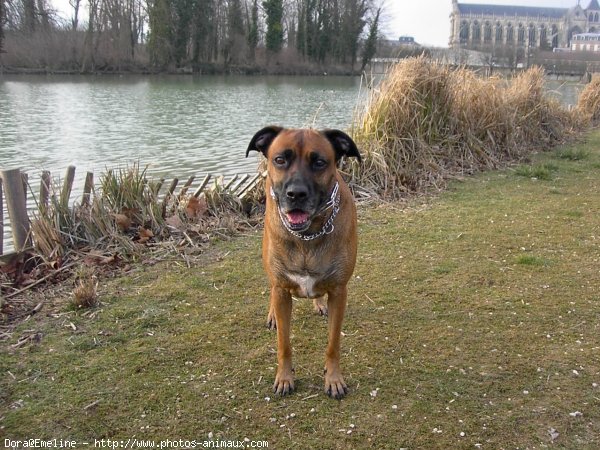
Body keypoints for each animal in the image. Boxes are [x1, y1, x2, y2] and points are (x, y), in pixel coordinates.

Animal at [245, 125, 360, 398]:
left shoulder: (339, 291)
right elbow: (284, 345)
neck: (308, 235)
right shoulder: (281, 289)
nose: (296, 194)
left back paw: (318, 303)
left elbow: (333, 343)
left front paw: (333, 379)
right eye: (280, 159)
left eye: (319, 162)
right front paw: (284, 378)